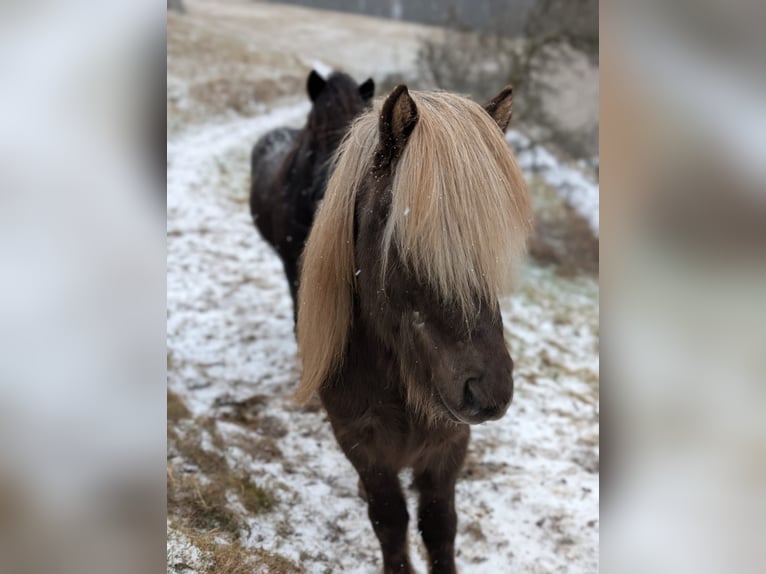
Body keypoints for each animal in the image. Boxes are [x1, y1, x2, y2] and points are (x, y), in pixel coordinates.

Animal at [295, 84, 532, 574]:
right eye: (408, 240)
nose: (489, 391)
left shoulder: (449, 445)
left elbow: (439, 525)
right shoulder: (361, 446)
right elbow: (390, 521)